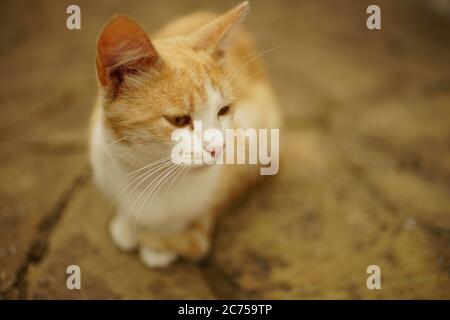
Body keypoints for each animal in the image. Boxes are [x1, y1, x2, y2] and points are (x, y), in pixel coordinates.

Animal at [90, 1, 282, 268]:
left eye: (224, 110)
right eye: (179, 120)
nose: (218, 149)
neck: (151, 173)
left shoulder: (252, 135)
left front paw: (158, 242)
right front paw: (128, 225)